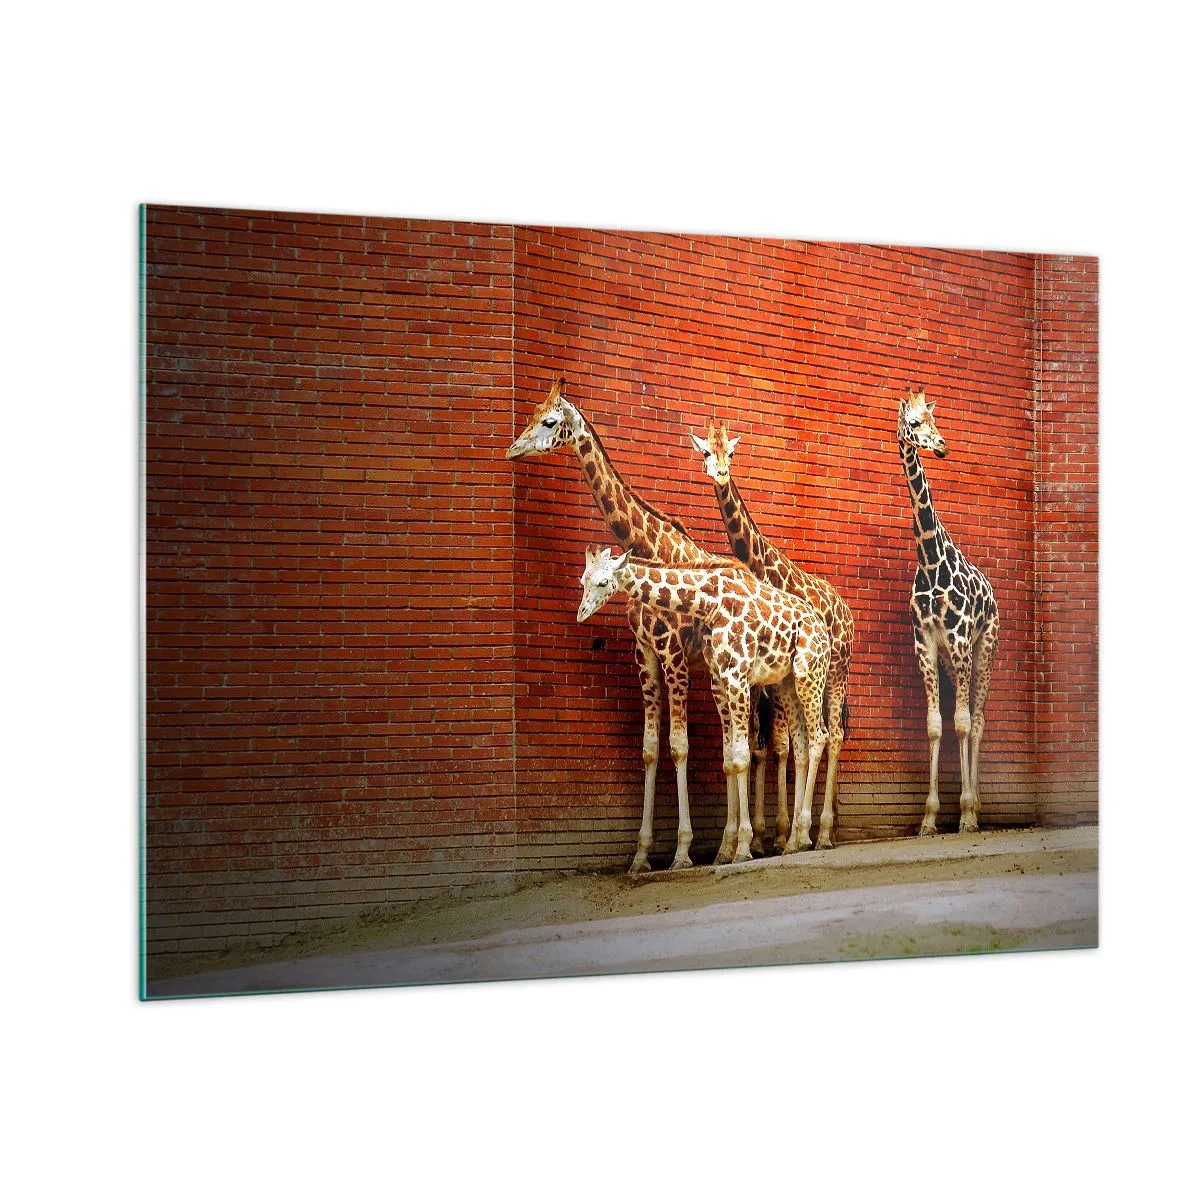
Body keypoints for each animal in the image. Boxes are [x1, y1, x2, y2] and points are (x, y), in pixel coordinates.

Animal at [506, 376, 729, 873]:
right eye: (531, 413)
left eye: (549, 421)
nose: (512, 450)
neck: (649, 548)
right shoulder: (643, 654)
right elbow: (648, 749)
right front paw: (641, 855)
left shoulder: (673, 655)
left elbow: (679, 745)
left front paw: (682, 852)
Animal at [577, 547, 831, 864]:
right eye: (582, 580)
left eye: (603, 582)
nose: (581, 613)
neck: (710, 602)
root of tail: (822, 630)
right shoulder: (720, 679)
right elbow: (730, 758)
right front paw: (726, 848)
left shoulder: (735, 674)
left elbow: (741, 756)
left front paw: (742, 847)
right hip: (786, 683)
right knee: (800, 745)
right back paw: (795, 840)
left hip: (810, 673)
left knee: (820, 736)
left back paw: (809, 835)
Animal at [689, 421, 855, 852]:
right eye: (706, 453)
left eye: (730, 454)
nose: (720, 474)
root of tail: (848, 613)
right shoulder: (768, 678)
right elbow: (771, 745)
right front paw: (774, 835)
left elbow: (782, 744)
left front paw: (781, 834)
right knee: (815, 736)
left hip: (836, 673)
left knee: (833, 735)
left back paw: (823, 833)